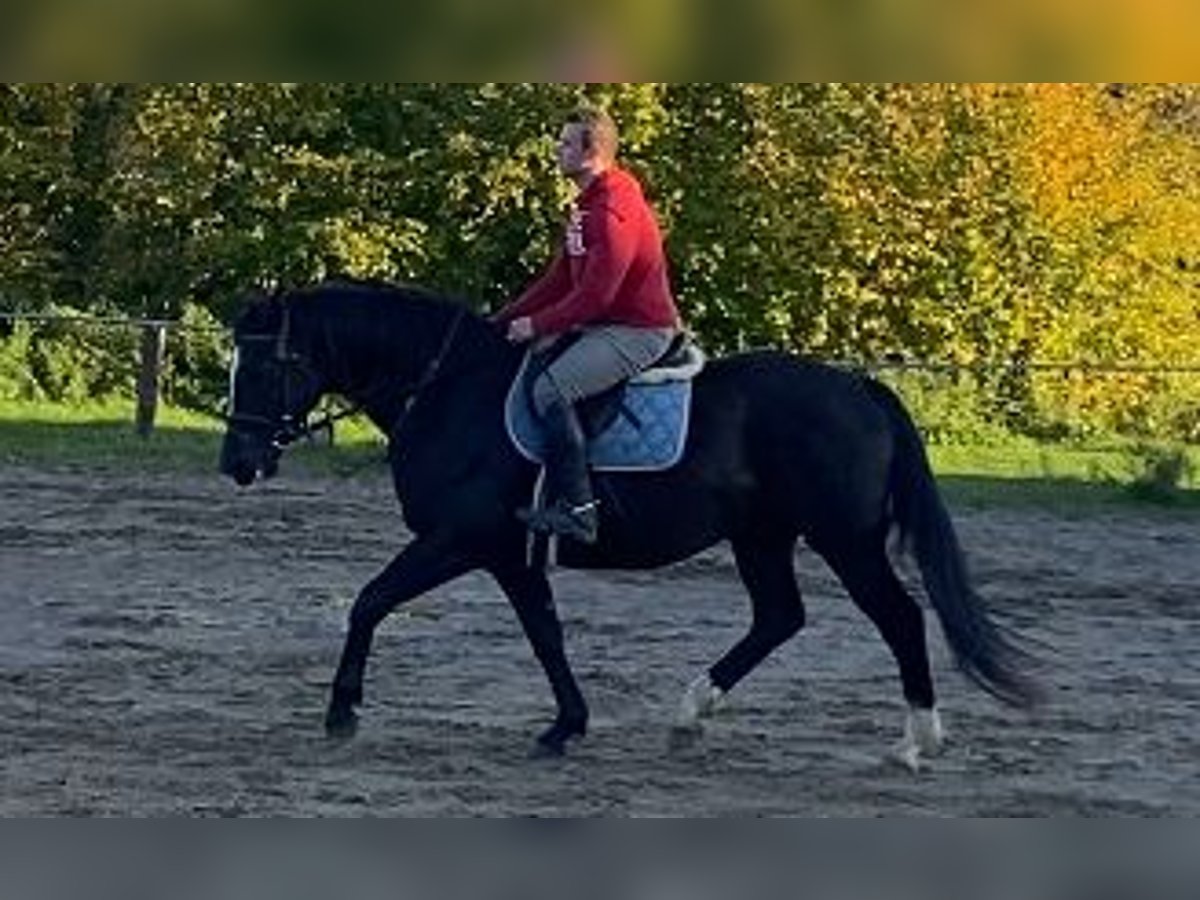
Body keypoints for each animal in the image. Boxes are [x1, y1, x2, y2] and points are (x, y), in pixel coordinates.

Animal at [220, 280, 1036, 768]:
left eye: (261, 369)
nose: (237, 464)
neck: (448, 391)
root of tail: (859, 387)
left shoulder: (458, 541)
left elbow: (369, 602)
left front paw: (341, 711)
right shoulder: (511, 555)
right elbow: (545, 636)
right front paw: (567, 725)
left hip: (845, 539)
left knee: (898, 617)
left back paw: (916, 740)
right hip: (762, 535)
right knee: (779, 617)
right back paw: (690, 712)